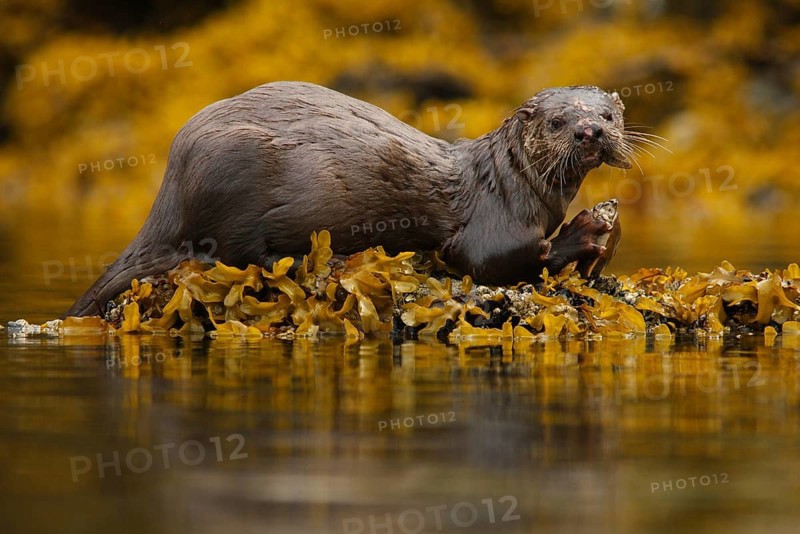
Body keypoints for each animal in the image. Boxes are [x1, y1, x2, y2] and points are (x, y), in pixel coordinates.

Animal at [65, 81, 635, 317]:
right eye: (558, 122)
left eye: (608, 115)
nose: (589, 131)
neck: (517, 183)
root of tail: (173, 183)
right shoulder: (489, 228)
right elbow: (495, 260)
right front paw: (587, 231)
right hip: (230, 169)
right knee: (234, 254)